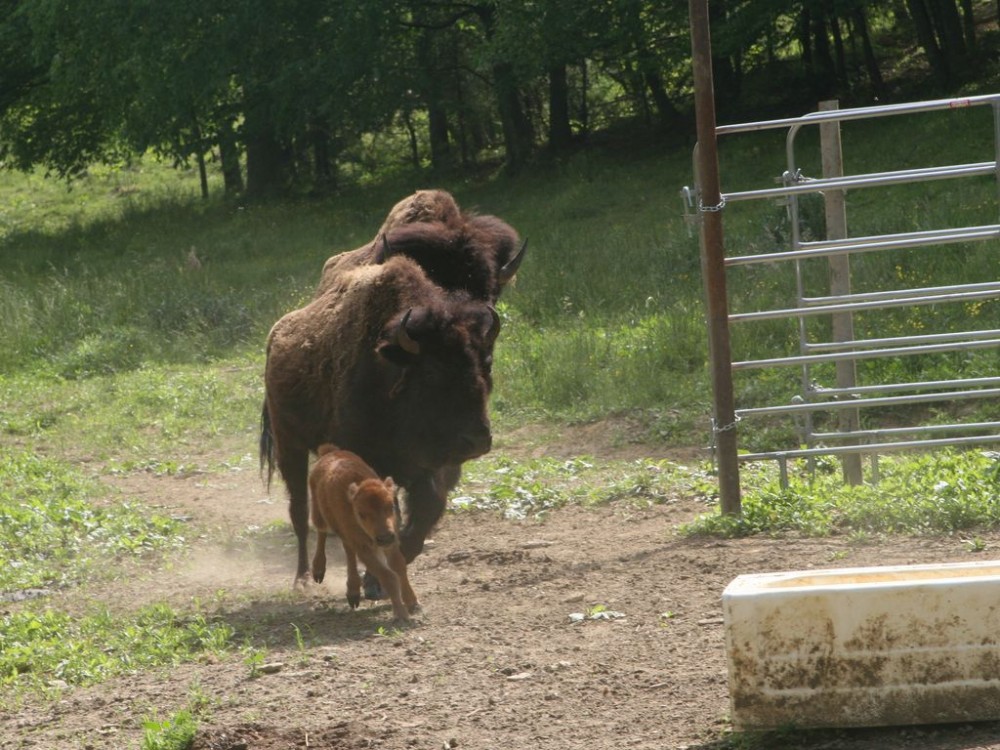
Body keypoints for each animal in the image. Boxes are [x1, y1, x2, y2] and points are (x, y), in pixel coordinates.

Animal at [260, 258, 500, 588]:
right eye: (432, 372)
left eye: (486, 364)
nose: (477, 440)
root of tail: (276, 336)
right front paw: (374, 580)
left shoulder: (427, 468)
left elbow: (424, 512)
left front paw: (378, 582)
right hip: (289, 444)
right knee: (299, 510)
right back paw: (303, 579)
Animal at [308, 446, 418, 624]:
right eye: (361, 513)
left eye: (391, 506)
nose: (384, 537)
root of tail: (329, 451)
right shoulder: (364, 548)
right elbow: (388, 576)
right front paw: (401, 614)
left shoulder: (391, 542)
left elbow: (399, 566)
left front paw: (413, 603)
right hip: (319, 514)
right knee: (321, 533)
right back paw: (318, 570)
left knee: (348, 551)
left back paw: (353, 592)